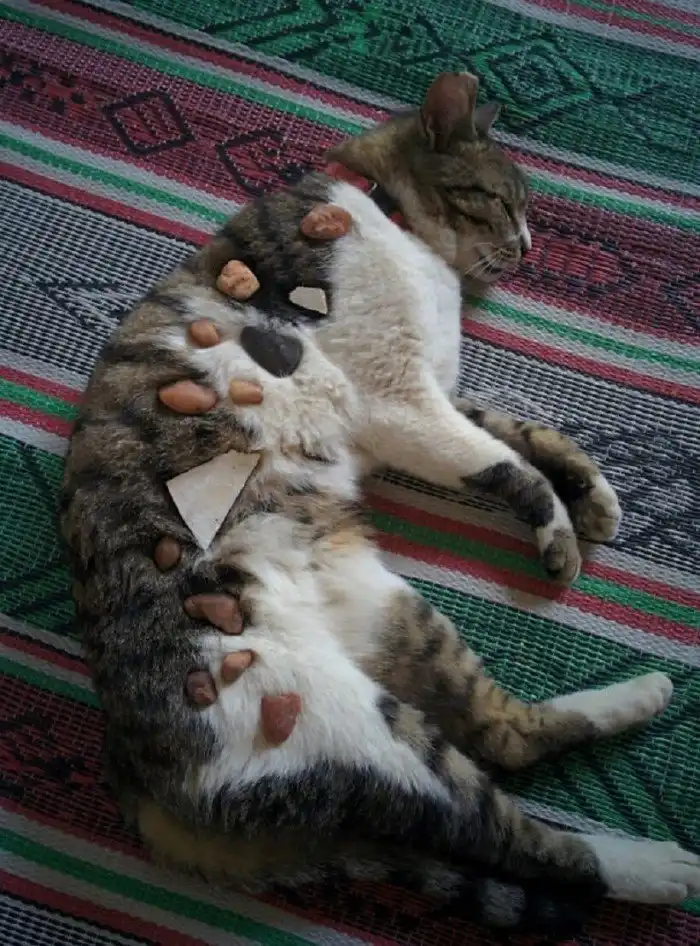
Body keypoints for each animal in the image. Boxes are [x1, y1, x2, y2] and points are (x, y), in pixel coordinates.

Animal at [60, 71, 700, 936]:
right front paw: (562, 534)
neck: (397, 225)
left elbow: (526, 433)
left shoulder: (438, 397)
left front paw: (596, 500)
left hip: (400, 616)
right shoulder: (402, 401)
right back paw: (655, 865)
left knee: (504, 730)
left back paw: (644, 696)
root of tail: (135, 778)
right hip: (348, 729)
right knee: (513, 830)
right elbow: (510, 466)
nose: (531, 246)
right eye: (504, 203)